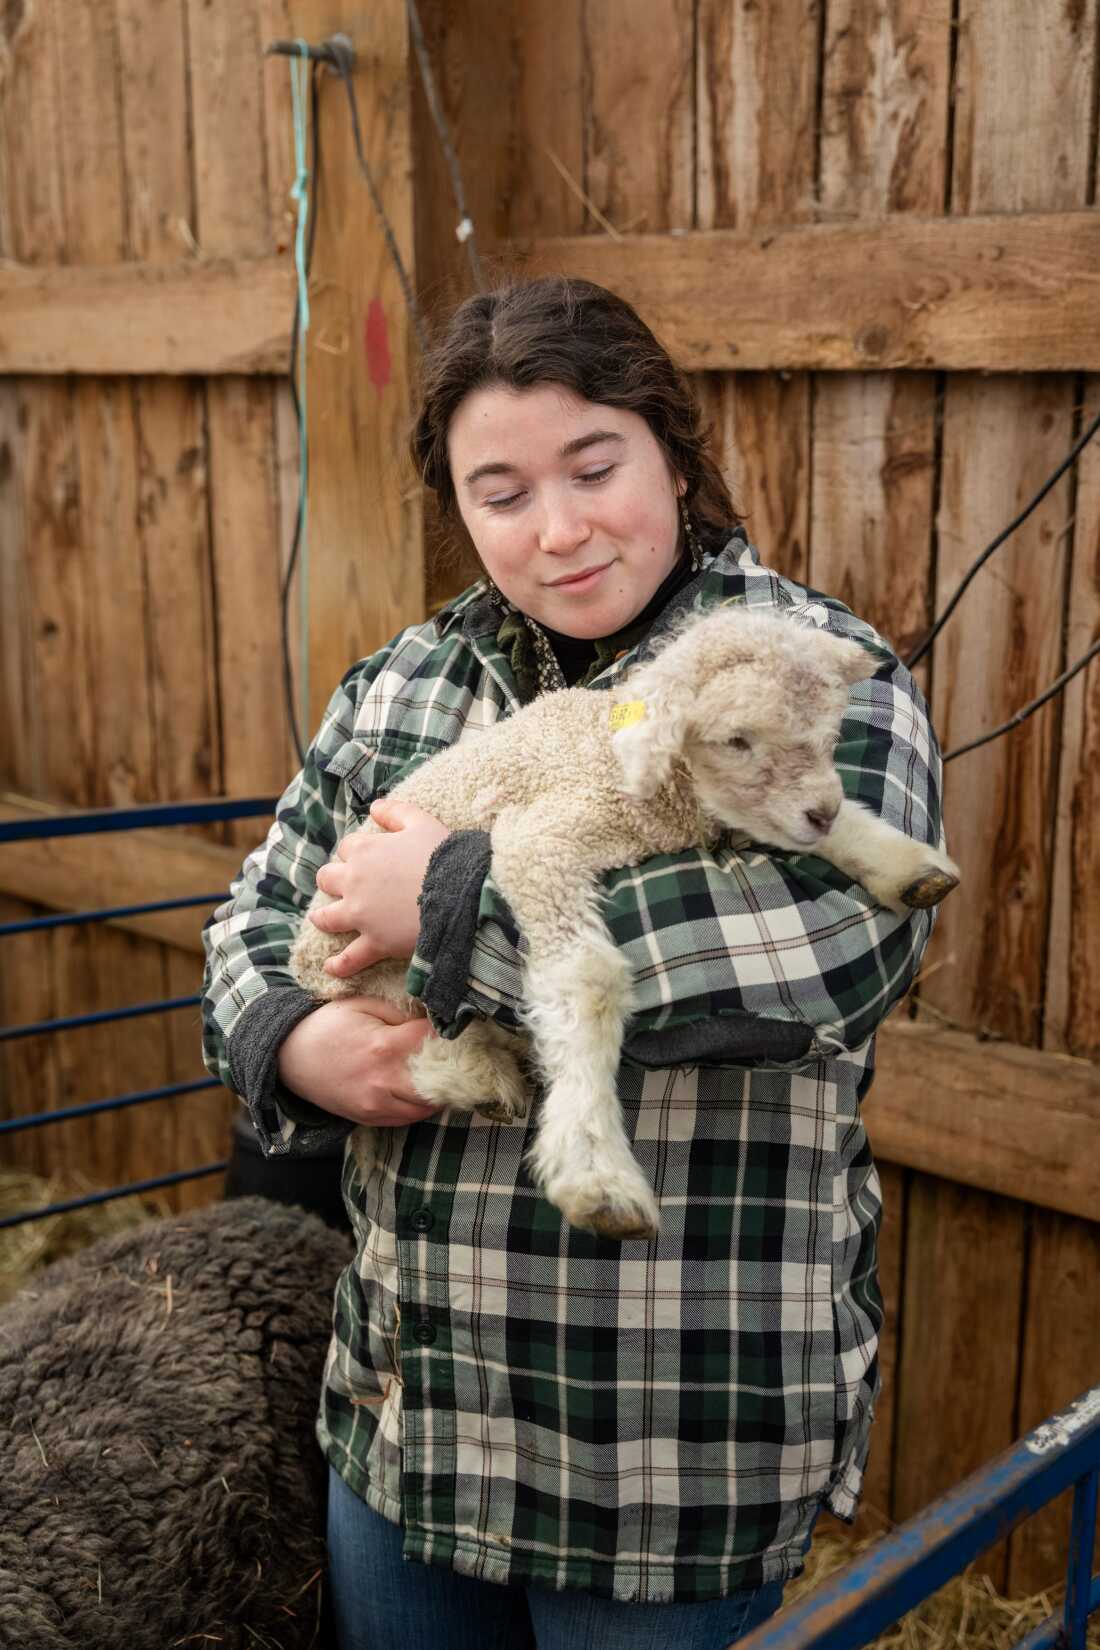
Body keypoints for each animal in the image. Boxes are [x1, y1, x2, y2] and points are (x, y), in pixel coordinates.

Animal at [291, 605, 959, 1242]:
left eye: (829, 732)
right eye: (737, 740)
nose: (819, 811)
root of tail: (307, 967)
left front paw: (908, 865)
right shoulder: (542, 843)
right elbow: (587, 979)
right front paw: (596, 1173)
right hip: (369, 974)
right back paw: (475, 1075)